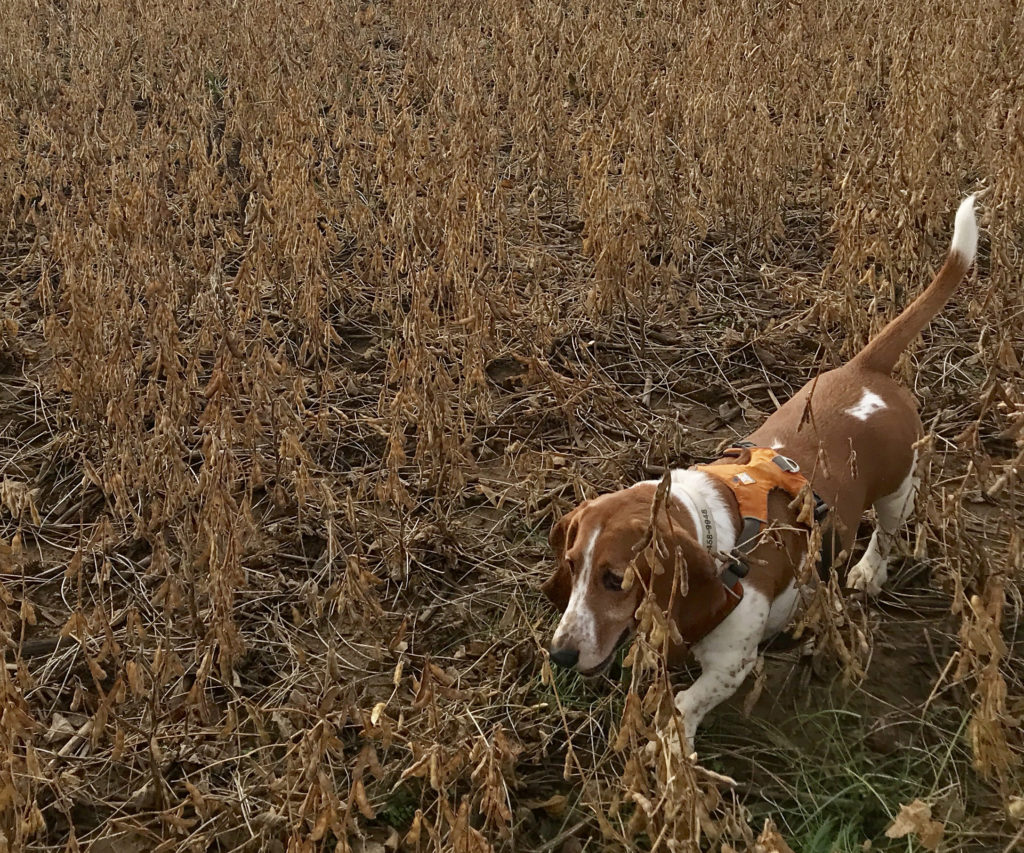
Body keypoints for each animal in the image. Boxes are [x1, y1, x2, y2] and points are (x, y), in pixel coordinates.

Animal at [540, 192, 978, 745]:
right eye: (572, 564)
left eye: (615, 579)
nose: (560, 654)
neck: (715, 533)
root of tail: (866, 368)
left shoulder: (732, 661)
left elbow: (685, 703)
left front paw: (674, 745)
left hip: (899, 492)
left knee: (885, 534)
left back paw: (865, 573)